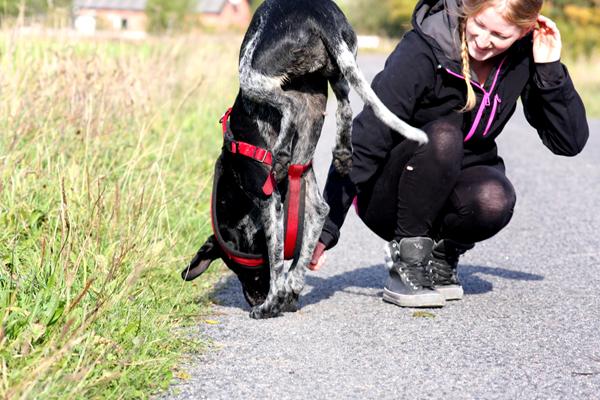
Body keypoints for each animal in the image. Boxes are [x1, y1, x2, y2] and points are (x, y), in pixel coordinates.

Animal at [183, 0, 426, 318]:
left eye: (238, 268)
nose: (254, 299)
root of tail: (319, 15)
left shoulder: (268, 202)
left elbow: (276, 261)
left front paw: (274, 299)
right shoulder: (302, 190)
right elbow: (311, 231)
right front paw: (291, 289)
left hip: (252, 72)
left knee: (288, 105)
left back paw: (283, 156)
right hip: (339, 71)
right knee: (345, 107)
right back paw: (342, 153)